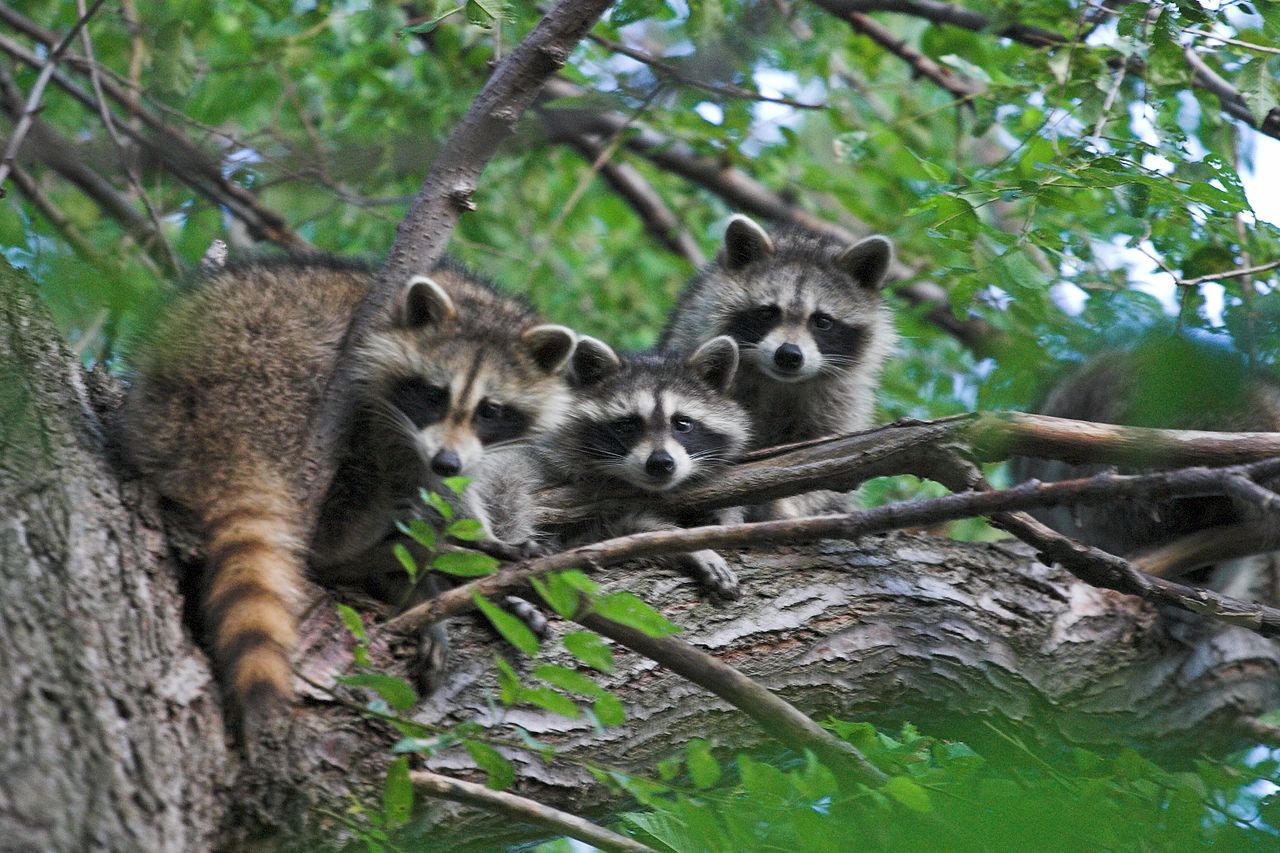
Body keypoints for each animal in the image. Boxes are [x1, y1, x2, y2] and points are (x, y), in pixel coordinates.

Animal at [122, 257, 576, 714]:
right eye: (434, 394)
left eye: (491, 410)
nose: (445, 460)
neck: (475, 301)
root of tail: (220, 416)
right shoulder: (383, 400)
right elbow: (418, 473)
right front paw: (463, 553)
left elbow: (455, 490)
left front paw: (484, 552)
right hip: (288, 371)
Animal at [662, 215, 896, 520]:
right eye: (768, 312)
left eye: (822, 321)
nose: (788, 355)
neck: (780, 382)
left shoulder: (841, 401)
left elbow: (831, 453)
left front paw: (789, 506)